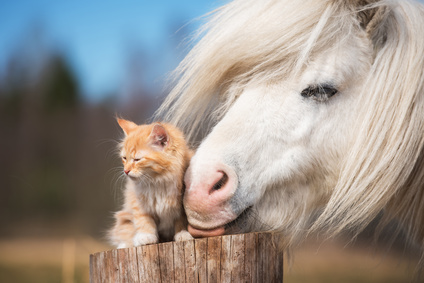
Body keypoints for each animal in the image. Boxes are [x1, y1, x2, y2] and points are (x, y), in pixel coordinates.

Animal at [110, 118, 195, 248]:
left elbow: (182, 220)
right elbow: (143, 219)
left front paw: (183, 233)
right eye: (124, 158)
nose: (126, 171)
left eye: (137, 159)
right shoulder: (138, 201)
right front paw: (146, 236)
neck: (158, 181)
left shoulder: (182, 205)